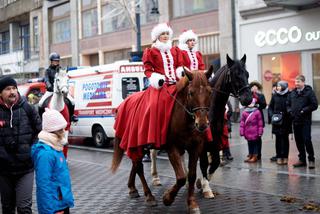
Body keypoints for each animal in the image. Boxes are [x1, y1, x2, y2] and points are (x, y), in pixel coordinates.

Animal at [111, 69, 214, 213]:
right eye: (190, 92)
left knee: (135, 164)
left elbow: (192, 175)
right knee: (139, 166)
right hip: (136, 143)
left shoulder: (196, 147)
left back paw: (132, 188)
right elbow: (181, 178)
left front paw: (192, 204)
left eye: (210, 92)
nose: (203, 124)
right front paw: (167, 198)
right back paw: (149, 196)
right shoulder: (172, 148)